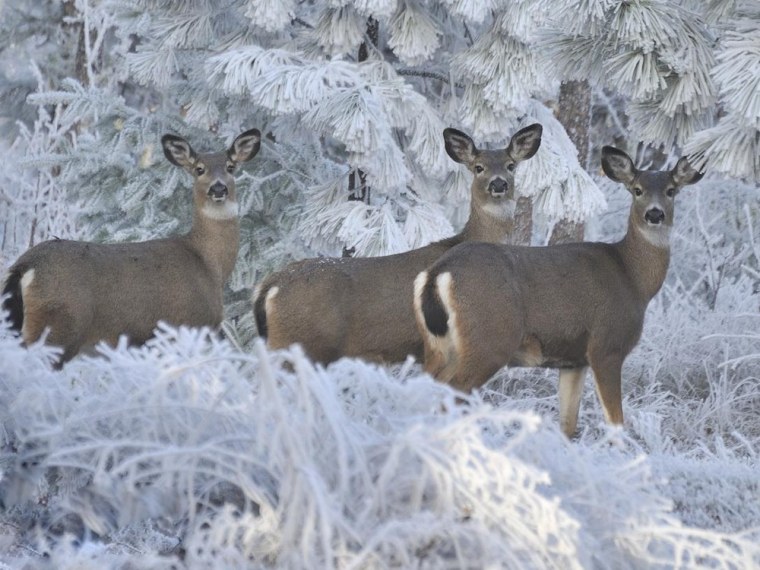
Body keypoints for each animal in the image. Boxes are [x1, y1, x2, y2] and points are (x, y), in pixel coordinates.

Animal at [1, 128, 261, 368]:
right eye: (199, 169)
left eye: (230, 167)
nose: (218, 189)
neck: (209, 263)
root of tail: (26, 266)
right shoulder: (189, 325)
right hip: (60, 325)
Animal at [414, 146, 704, 437]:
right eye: (637, 190)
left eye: (671, 190)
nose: (654, 215)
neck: (632, 278)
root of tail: (439, 272)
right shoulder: (606, 346)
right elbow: (615, 423)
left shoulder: (573, 360)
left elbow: (567, 423)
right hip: (489, 340)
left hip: (439, 346)